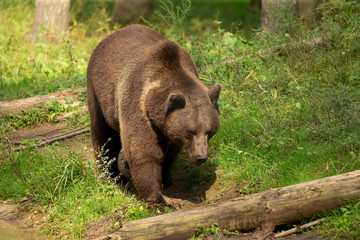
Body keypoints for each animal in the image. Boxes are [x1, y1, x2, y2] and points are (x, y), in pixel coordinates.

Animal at [87, 24, 222, 203]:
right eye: (190, 131)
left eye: (209, 131)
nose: (201, 157)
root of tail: (111, 35)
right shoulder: (138, 103)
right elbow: (143, 151)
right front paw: (157, 199)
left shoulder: (168, 126)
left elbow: (170, 151)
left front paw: (166, 177)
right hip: (100, 95)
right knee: (105, 136)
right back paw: (113, 175)